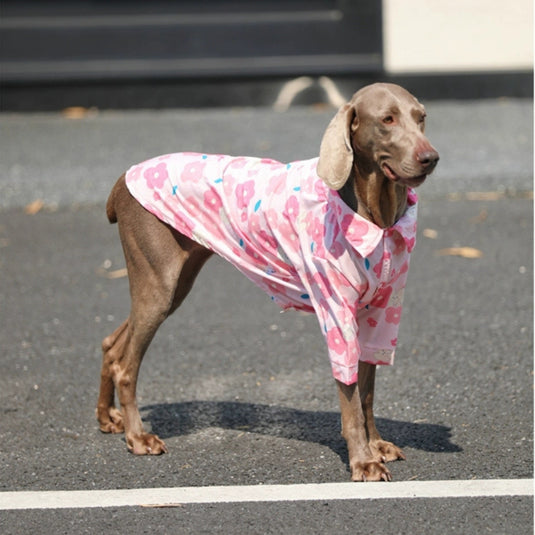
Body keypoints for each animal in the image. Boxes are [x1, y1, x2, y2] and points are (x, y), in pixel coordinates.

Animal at [96, 82, 440, 482]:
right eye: (387, 119)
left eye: (421, 117)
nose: (431, 157)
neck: (374, 215)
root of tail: (123, 179)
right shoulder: (338, 314)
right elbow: (351, 397)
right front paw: (363, 461)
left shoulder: (378, 313)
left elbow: (367, 393)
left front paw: (377, 445)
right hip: (159, 283)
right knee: (126, 364)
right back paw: (138, 437)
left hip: (171, 282)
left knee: (112, 345)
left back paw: (108, 419)